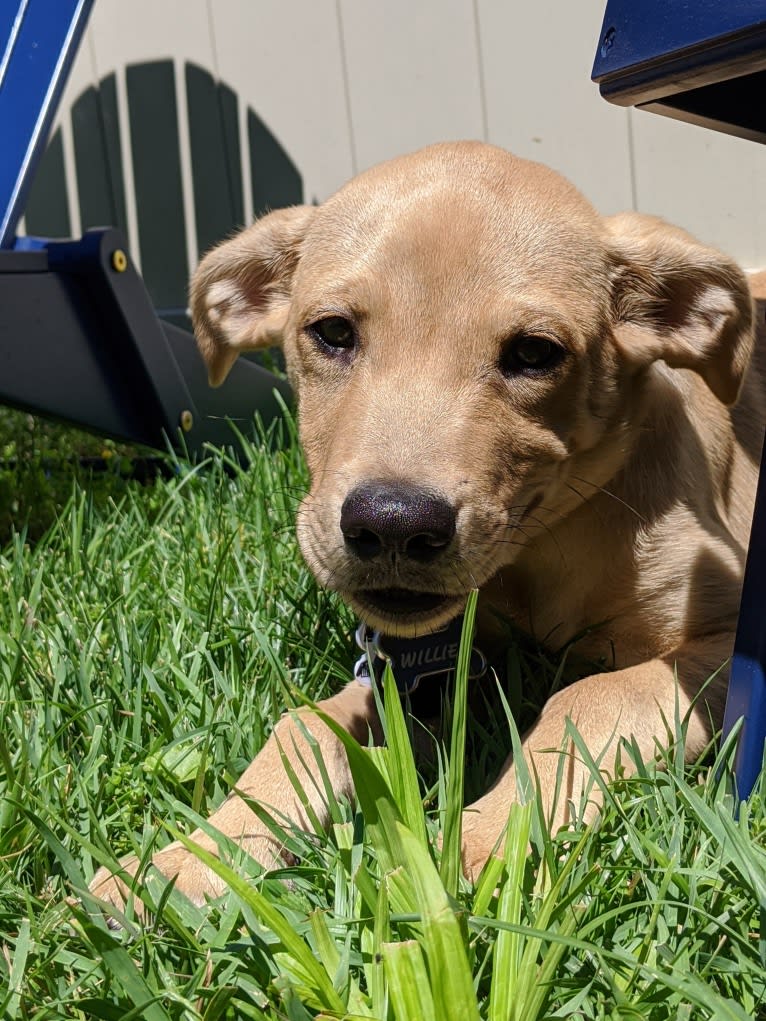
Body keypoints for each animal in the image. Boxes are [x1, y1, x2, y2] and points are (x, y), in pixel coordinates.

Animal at [92, 143, 763, 910]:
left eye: (535, 352)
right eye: (332, 332)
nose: (391, 526)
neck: (534, 555)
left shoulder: (724, 637)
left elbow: (590, 695)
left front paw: (483, 840)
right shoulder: (407, 667)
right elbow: (304, 726)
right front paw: (189, 860)